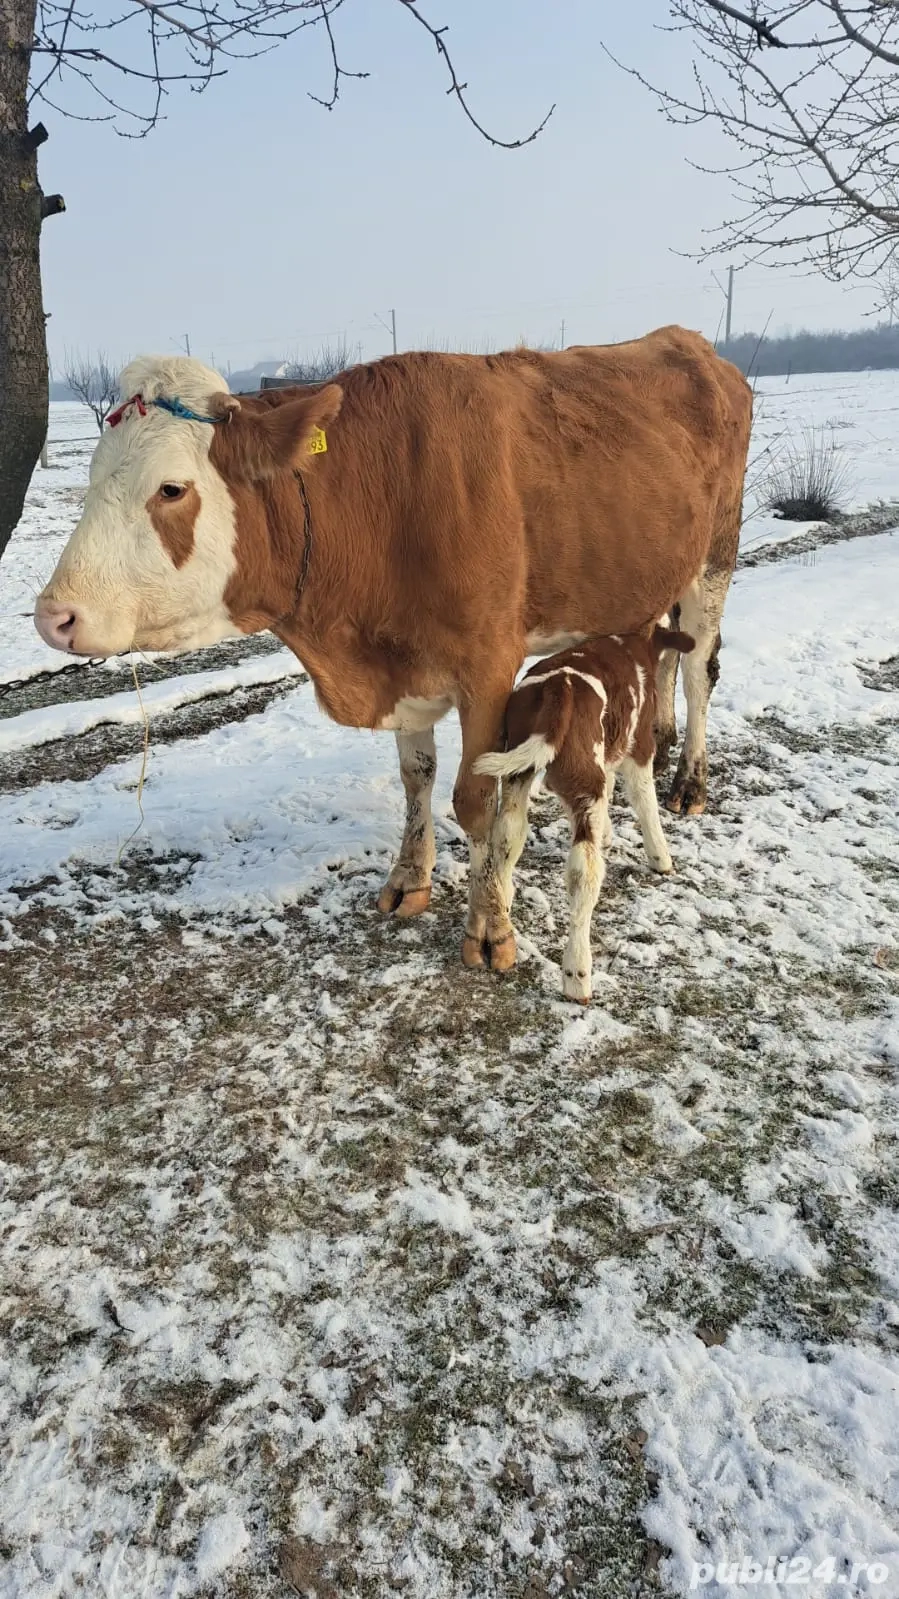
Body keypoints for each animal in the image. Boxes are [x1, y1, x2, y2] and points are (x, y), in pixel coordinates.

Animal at [474, 626, 696, 1003]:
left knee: (508, 833)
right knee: (584, 872)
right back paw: (577, 974)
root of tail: (558, 690)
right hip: (585, 780)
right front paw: (661, 858)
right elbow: (645, 801)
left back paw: (502, 906)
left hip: (520, 765)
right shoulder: (639, 746)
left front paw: (609, 834)